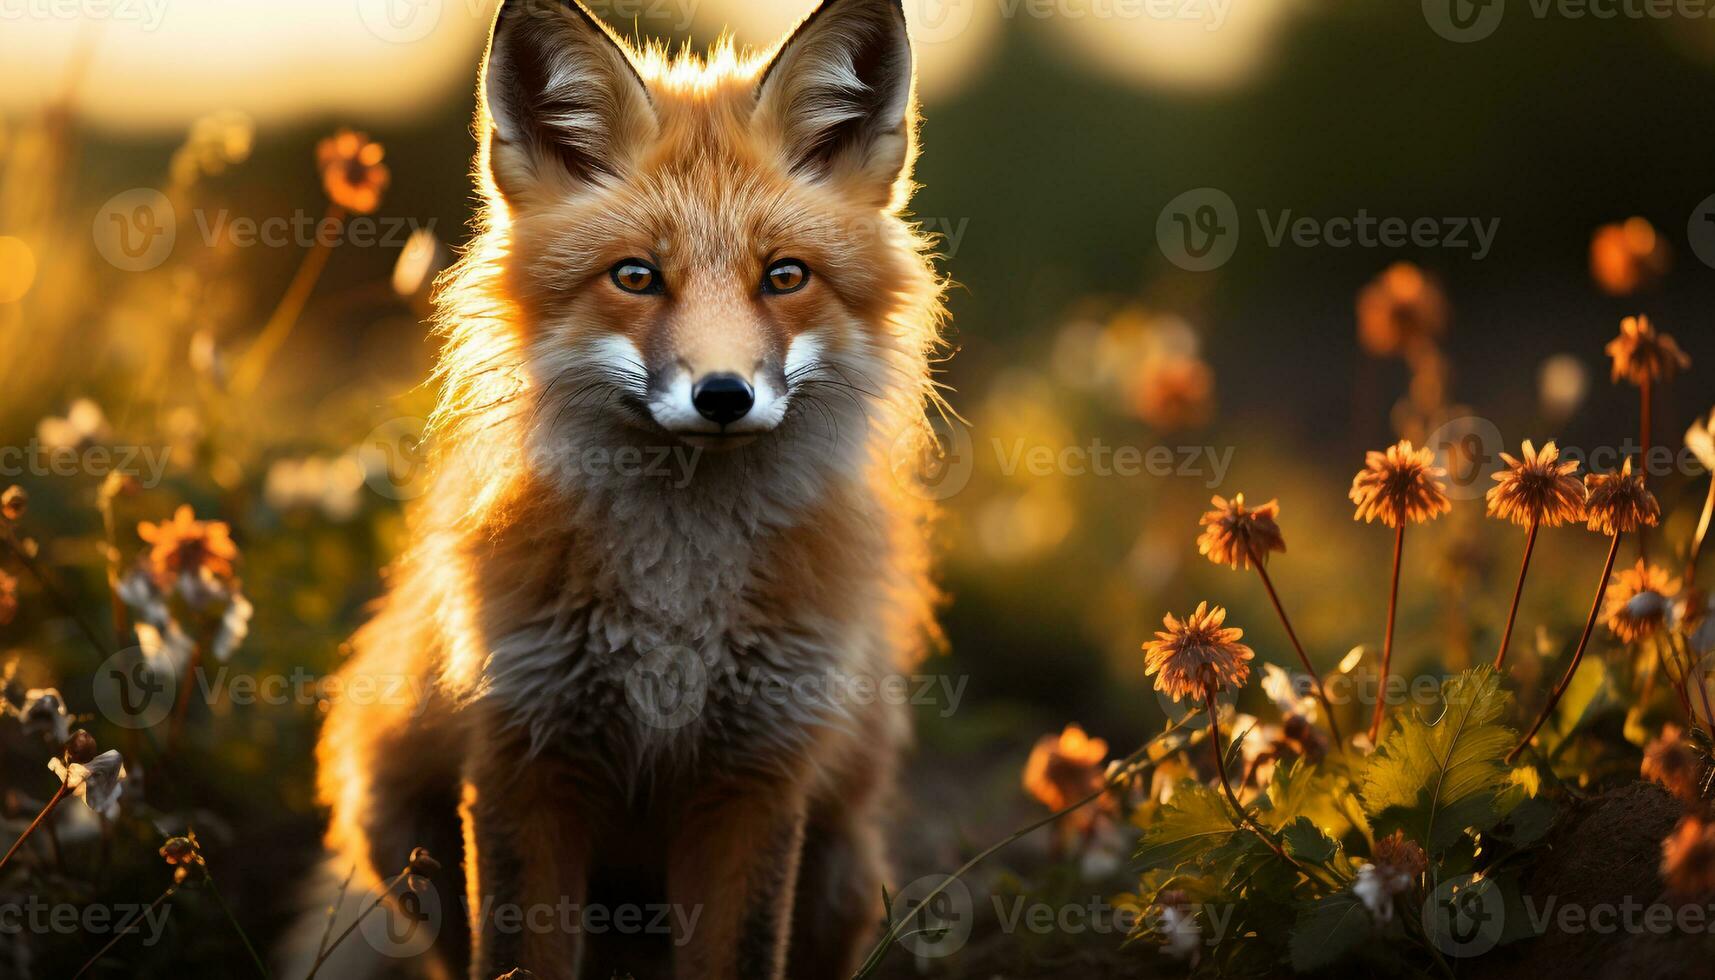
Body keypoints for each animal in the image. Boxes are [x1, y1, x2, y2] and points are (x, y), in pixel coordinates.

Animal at [312, 1, 953, 980]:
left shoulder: (758, 773)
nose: (722, 395)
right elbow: (521, 956)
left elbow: (735, 953)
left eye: (784, 276)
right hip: (394, 825)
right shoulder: (523, 759)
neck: (674, 621)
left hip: (843, 870)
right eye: (636, 277)